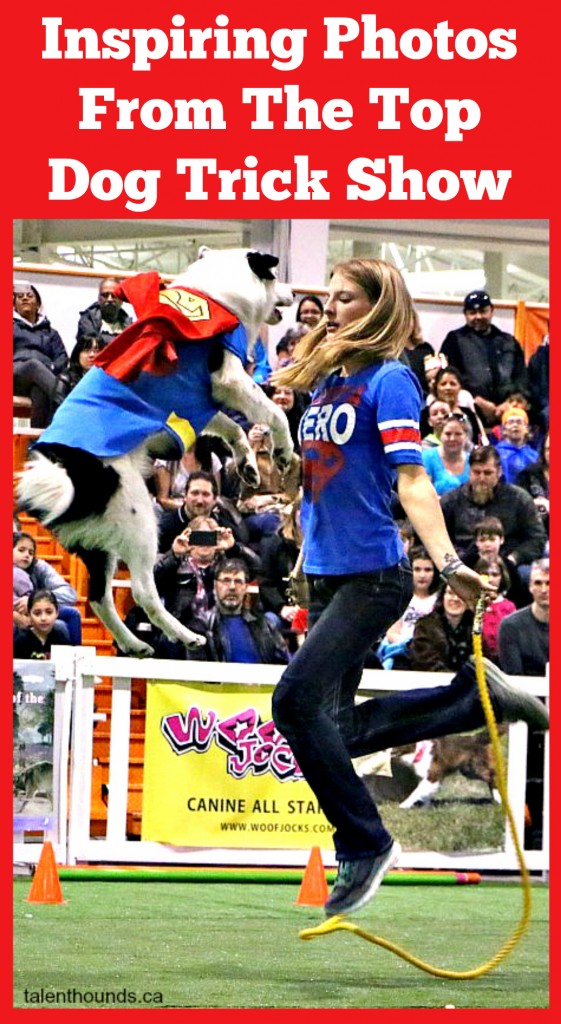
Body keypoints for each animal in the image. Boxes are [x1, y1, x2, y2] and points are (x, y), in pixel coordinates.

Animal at [18, 245, 294, 655]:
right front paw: (284, 451)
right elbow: (273, 412)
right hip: (139, 518)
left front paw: (248, 465)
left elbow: (232, 429)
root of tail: (71, 471)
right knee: (143, 591)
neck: (217, 292)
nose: (294, 292)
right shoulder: (228, 381)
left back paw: (133, 643)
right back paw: (185, 635)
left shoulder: (196, 405)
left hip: (97, 546)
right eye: (276, 276)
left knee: (99, 598)